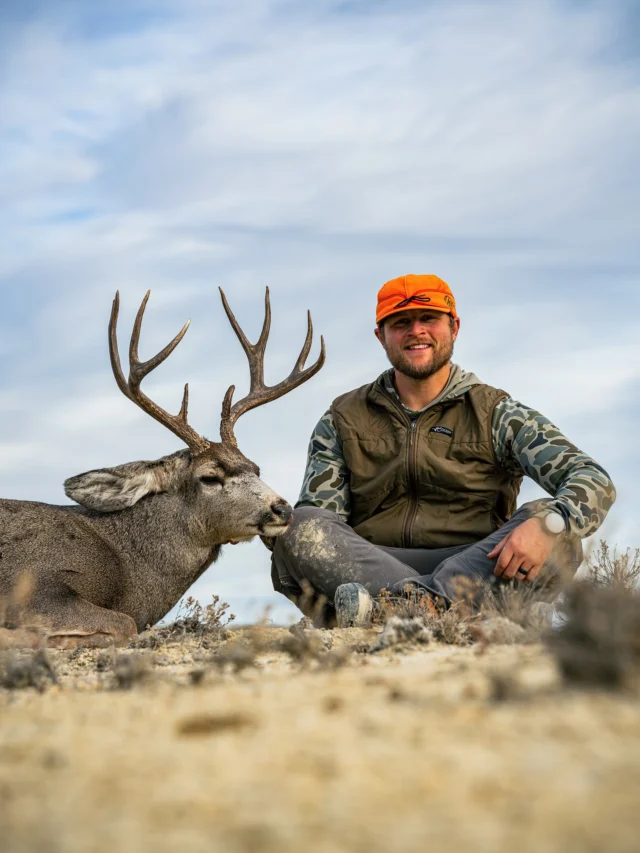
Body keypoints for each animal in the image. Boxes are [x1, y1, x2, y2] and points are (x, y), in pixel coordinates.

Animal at [0, 288, 325, 649]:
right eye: (209, 476)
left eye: (255, 468)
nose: (282, 508)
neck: (127, 568)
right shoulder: (36, 584)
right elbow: (123, 624)